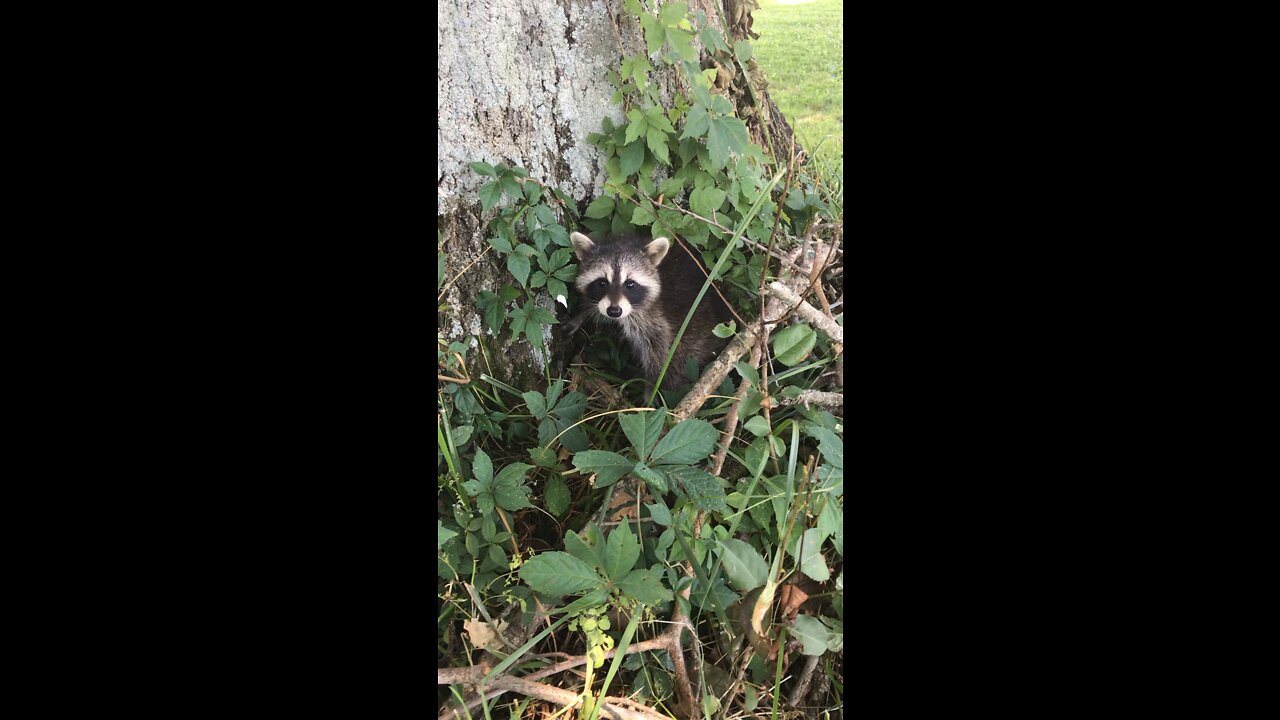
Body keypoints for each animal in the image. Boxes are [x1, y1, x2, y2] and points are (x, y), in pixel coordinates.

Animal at [568, 231, 732, 394]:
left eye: (630, 284)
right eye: (602, 282)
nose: (614, 311)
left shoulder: (654, 317)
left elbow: (659, 353)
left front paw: (652, 389)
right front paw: (581, 314)